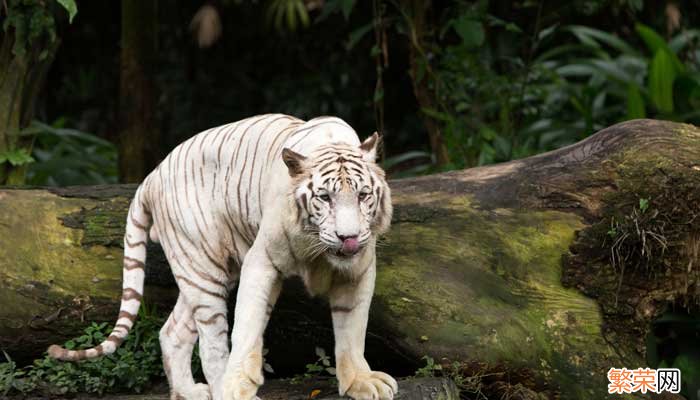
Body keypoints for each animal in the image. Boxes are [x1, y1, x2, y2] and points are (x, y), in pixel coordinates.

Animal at [49, 114, 396, 400]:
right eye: (324, 197)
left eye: (363, 195)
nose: (348, 237)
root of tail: (153, 175)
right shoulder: (262, 261)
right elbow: (247, 325)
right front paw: (239, 384)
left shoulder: (359, 270)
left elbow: (352, 329)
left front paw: (360, 382)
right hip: (203, 268)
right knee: (211, 344)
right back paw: (222, 390)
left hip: (203, 270)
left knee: (172, 331)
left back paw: (188, 392)